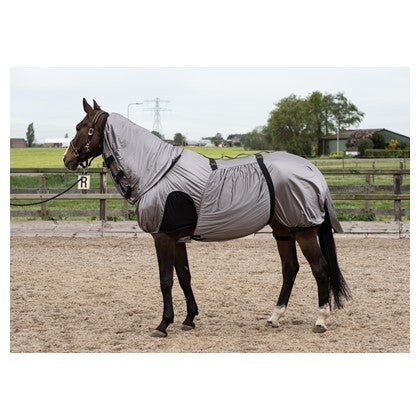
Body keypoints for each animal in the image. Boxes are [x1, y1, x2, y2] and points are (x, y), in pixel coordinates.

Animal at [64, 98, 351, 338]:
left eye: (82, 126)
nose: (67, 159)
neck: (157, 172)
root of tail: (311, 169)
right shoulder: (177, 238)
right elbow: (184, 276)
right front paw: (189, 318)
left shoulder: (162, 236)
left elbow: (166, 280)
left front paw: (163, 324)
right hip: (283, 230)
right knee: (290, 269)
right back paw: (275, 316)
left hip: (303, 230)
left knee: (320, 269)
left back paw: (320, 320)